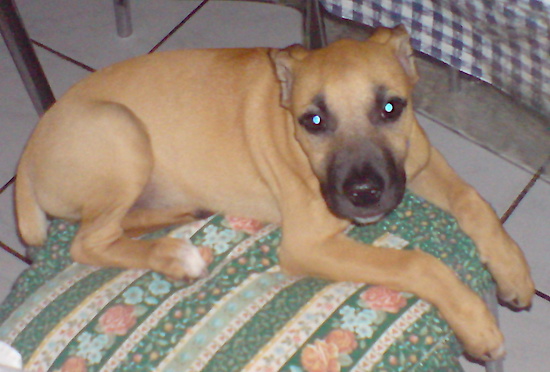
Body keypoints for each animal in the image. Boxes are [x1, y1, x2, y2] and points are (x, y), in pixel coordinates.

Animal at [16, 25, 536, 360]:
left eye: (391, 107)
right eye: (314, 120)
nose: (364, 193)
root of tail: (26, 157)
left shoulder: (418, 163)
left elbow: (473, 201)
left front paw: (512, 270)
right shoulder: (308, 245)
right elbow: (417, 263)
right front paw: (477, 322)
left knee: (117, 225)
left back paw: (182, 214)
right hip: (122, 131)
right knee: (89, 241)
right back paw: (174, 256)